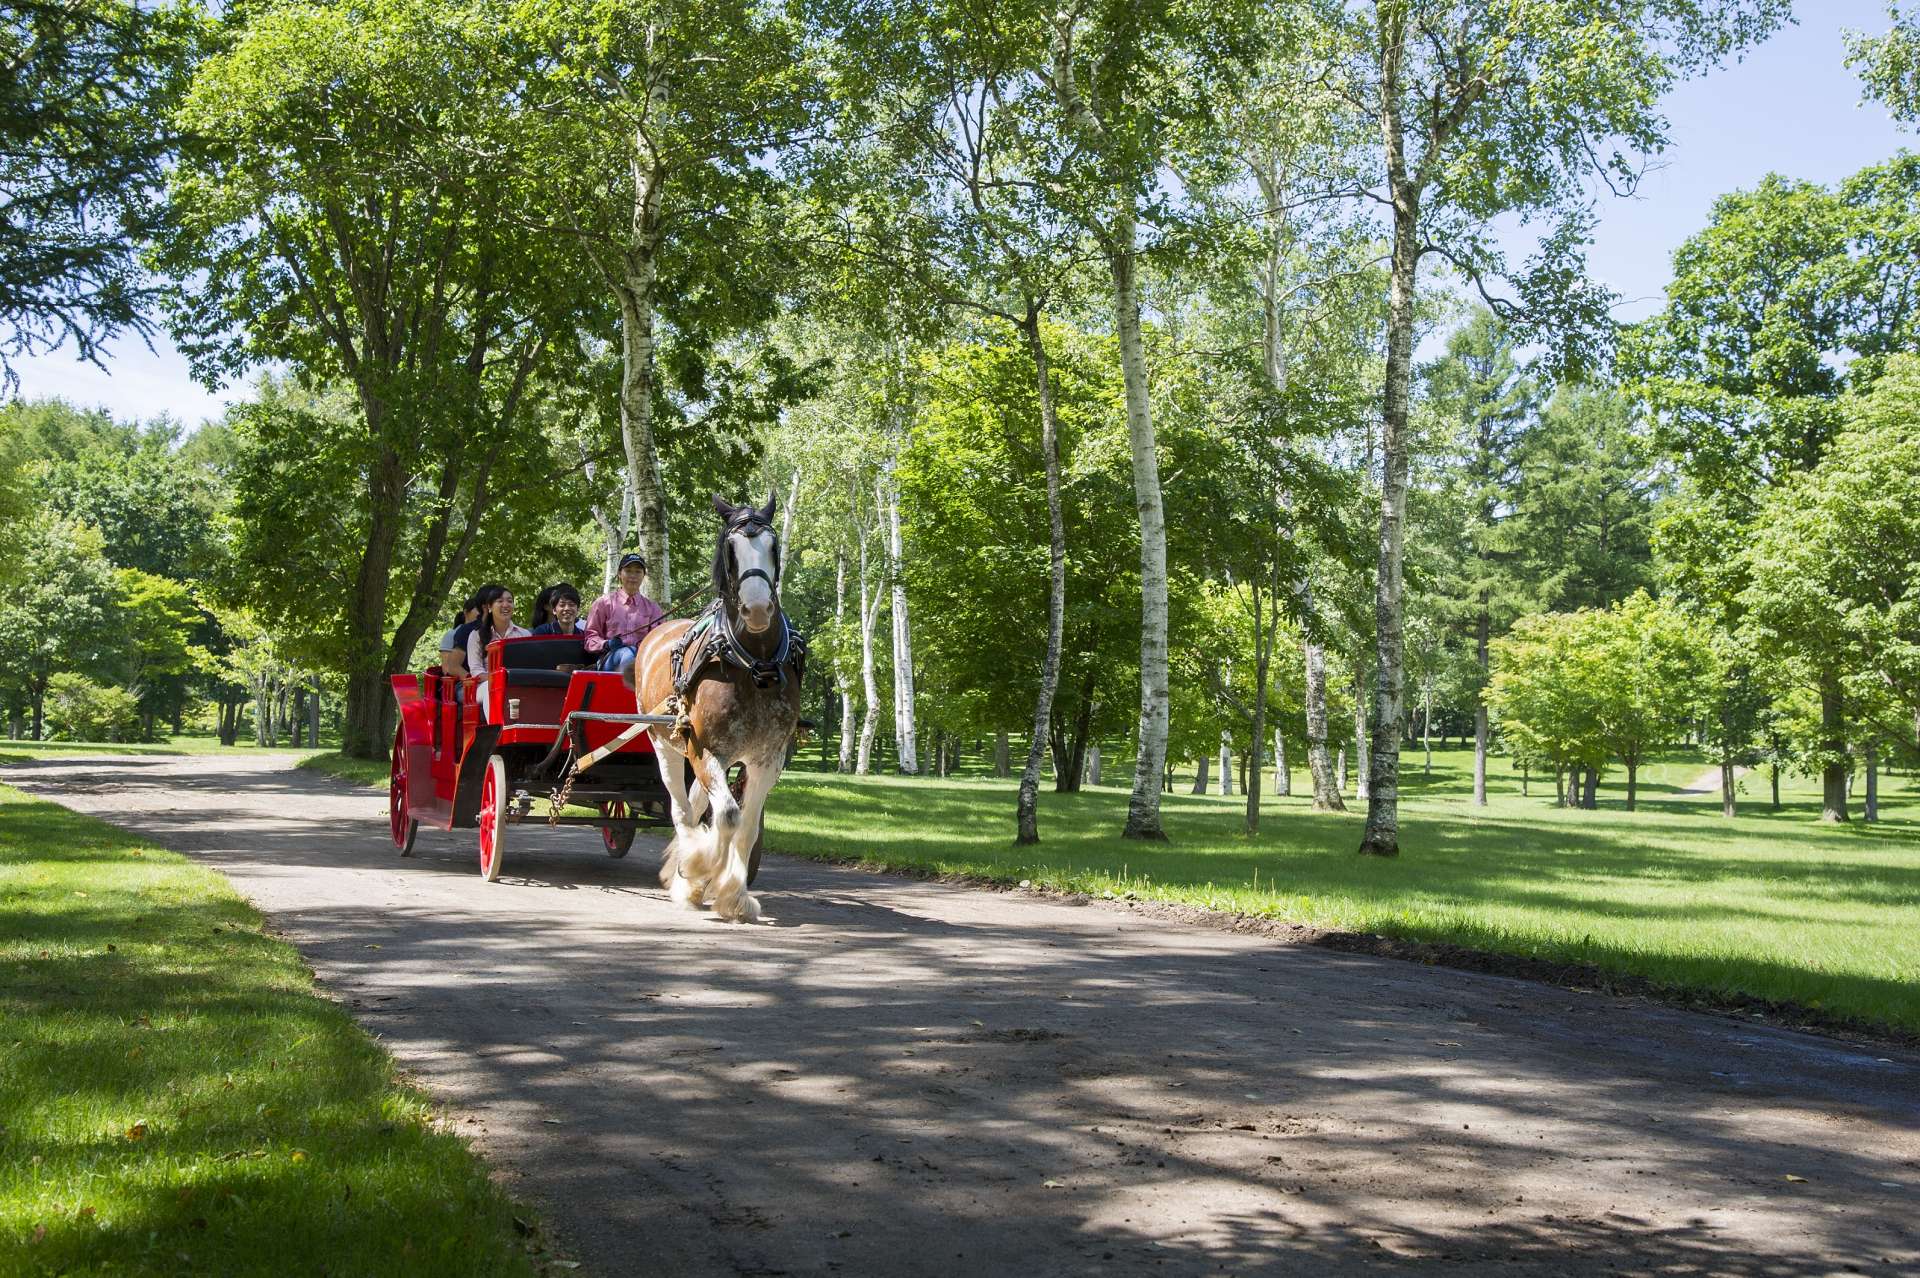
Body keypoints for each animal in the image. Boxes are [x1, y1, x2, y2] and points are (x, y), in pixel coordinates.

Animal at [629, 487, 802, 917]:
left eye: (773, 545)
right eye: (731, 548)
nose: (757, 609)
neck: (754, 664)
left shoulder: (767, 758)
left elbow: (747, 826)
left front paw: (735, 895)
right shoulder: (705, 748)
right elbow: (726, 815)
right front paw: (698, 870)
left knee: (694, 806)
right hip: (667, 744)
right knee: (681, 808)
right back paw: (688, 870)